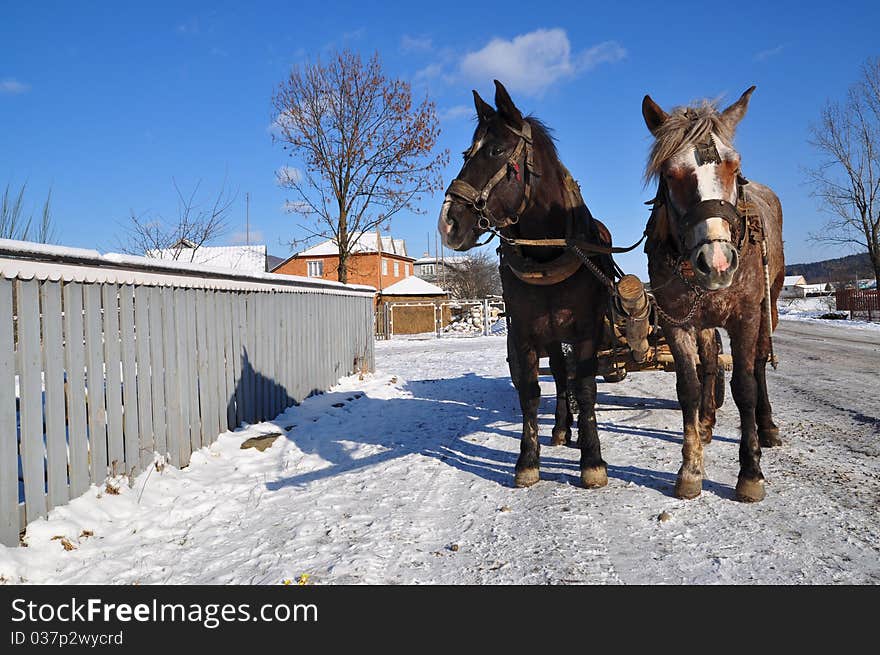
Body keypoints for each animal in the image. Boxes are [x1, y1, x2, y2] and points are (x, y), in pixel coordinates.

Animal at [436, 82, 616, 490]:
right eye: (466, 153)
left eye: (496, 151)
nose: (449, 222)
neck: (548, 253)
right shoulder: (523, 331)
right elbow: (531, 392)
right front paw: (528, 461)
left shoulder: (586, 330)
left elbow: (586, 387)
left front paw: (592, 461)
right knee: (561, 377)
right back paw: (563, 428)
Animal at [640, 88, 784, 502]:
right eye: (671, 174)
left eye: (734, 167)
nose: (717, 262)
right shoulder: (677, 320)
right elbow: (688, 385)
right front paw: (690, 468)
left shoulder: (746, 315)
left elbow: (745, 385)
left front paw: (750, 472)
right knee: (709, 362)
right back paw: (705, 421)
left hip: (770, 304)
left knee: (758, 361)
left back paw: (767, 426)